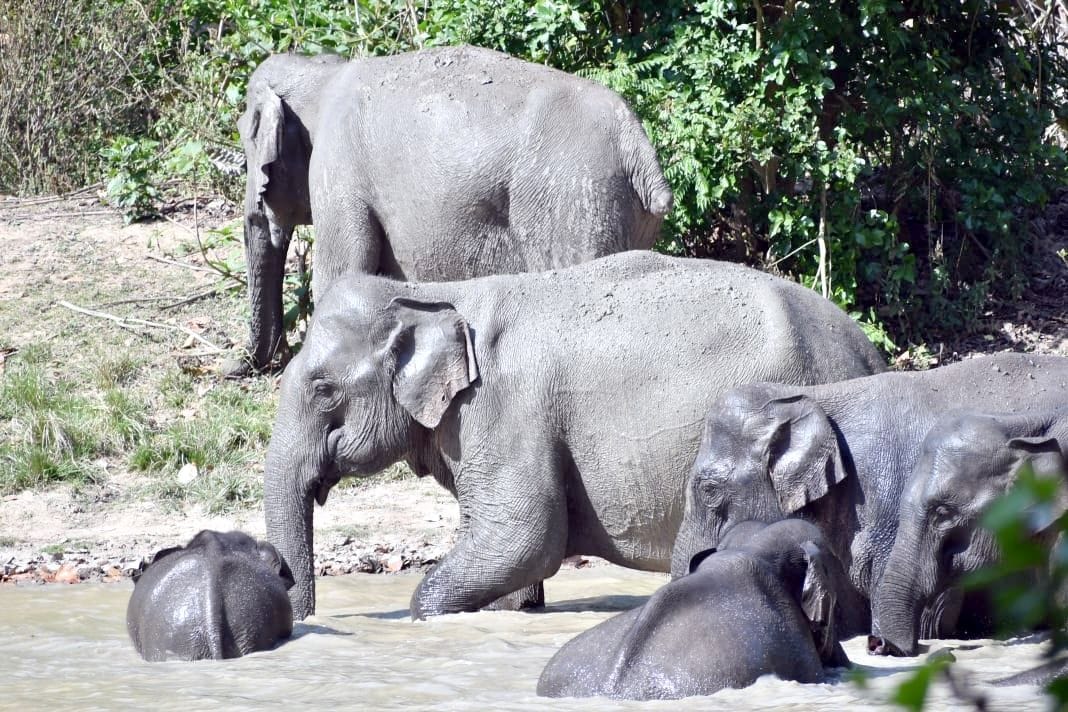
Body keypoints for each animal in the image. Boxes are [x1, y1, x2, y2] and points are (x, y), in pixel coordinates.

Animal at [232, 44, 673, 374]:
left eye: (248, 145)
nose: (238, 367)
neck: (320, 72)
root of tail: (637, 147)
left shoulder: (338, 171)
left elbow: (340, 275)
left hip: (575, 205)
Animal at [262, 250, 887, 621]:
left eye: (323, 389)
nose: (306, 620)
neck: (432, 291)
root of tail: (871, 352)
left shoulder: (504, 411)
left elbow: (524, 535)